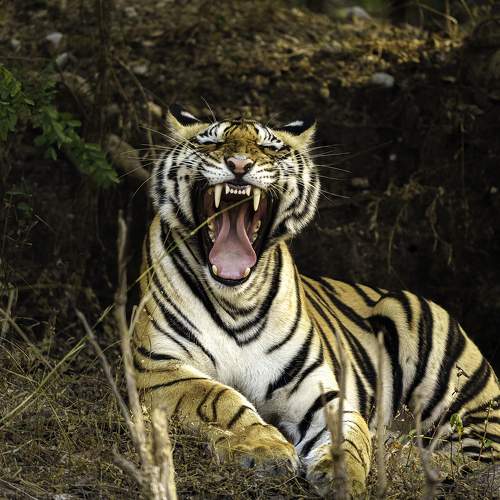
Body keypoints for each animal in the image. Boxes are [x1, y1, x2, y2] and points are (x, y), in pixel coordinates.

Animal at [133, 104, 500, 496]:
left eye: (269, 148)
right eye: (212, 142)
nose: (239, 164)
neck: (236, 300)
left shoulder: (316, 386)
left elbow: (349, 434)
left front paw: (343, 477)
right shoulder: (159, 368)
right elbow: (217, 399)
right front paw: (266, 451)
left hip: (452, 380)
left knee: (475, 457)